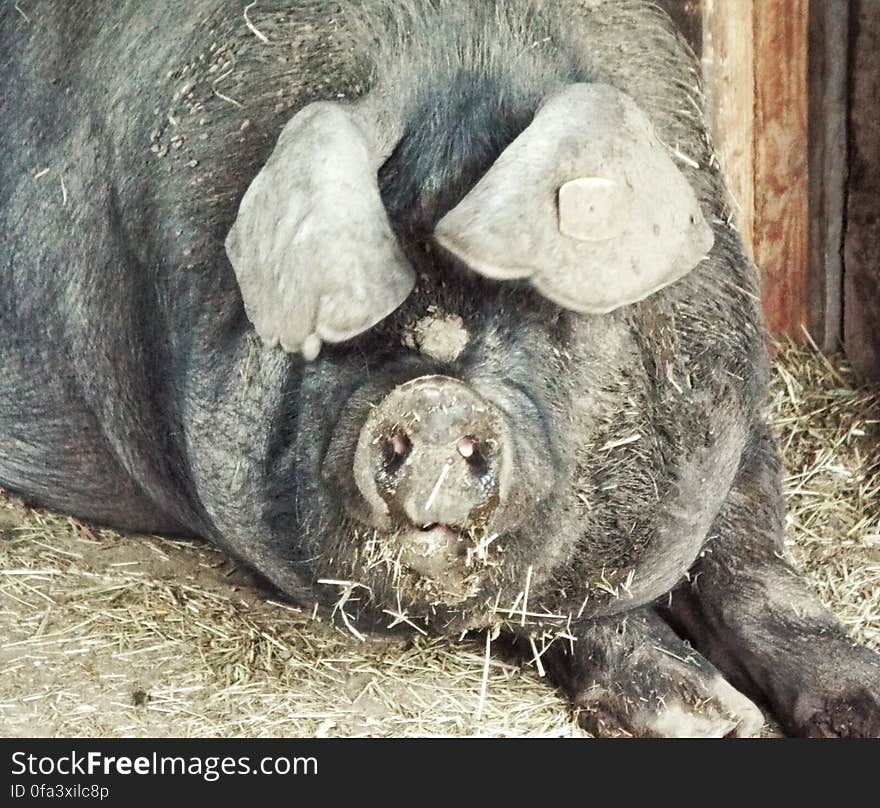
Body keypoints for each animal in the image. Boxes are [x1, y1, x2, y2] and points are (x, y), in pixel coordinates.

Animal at [1, 0, 880, 736]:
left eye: (546, 310)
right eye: (346, 322)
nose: (434, 402)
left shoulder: (742, 420)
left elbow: (756, 564)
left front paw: (850, 711)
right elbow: (537, 610)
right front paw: (704, 719)